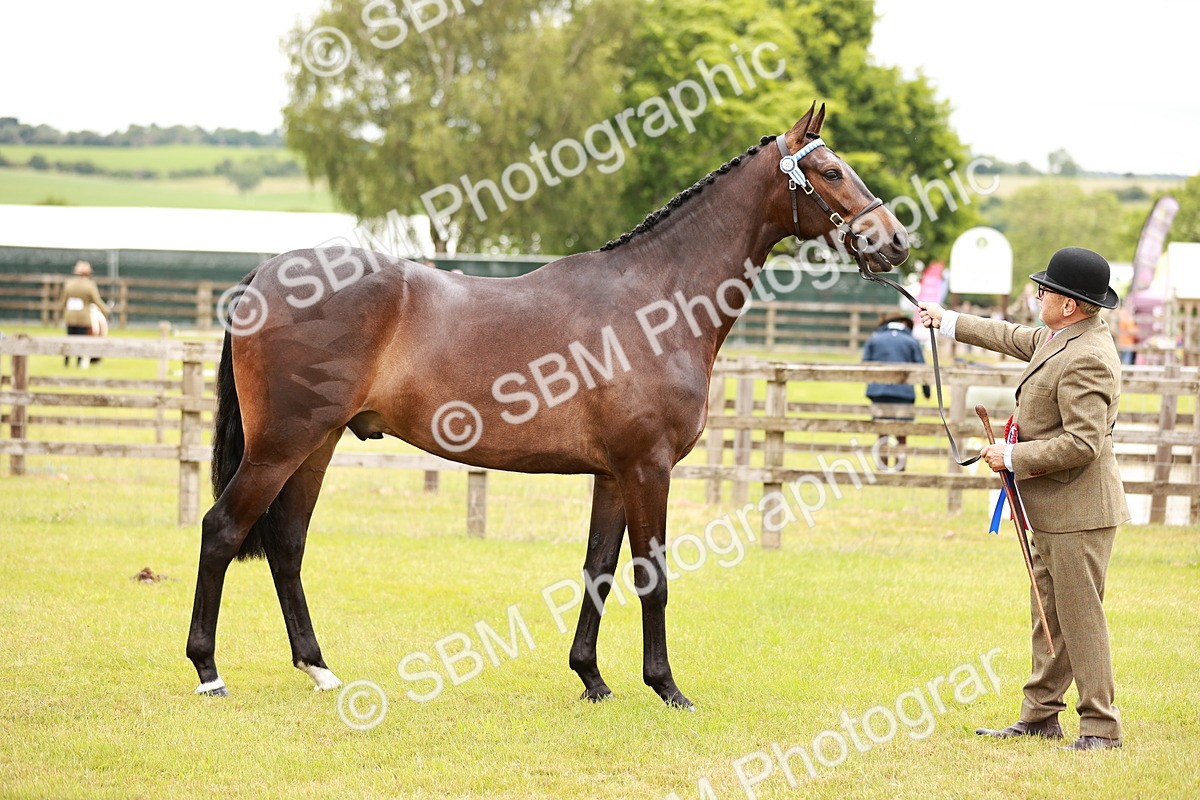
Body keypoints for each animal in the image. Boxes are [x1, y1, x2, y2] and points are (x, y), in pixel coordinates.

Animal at [187, 103, 910, 709]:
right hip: (280, 447)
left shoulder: (614, 474)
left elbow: (599, 570)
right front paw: (667, 687)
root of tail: (266, 274)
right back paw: (209, 671)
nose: (897, 239)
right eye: (830, 170)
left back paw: (319, 669)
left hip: (317, 445)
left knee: (287, 546)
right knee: (222, 530)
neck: (657, 300)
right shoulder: (647, 468)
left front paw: (592, 678)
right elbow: (651, 576)